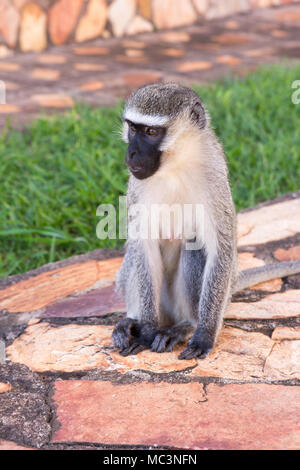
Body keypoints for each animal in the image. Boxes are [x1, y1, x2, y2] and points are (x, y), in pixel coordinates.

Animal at [112, 82, 300, 360]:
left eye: (151, 132)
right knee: (135, 256)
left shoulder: (214, 176)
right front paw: (145, 329)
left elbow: (220, 249)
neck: (176, 165)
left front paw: (204, 334)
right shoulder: (137, 184)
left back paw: (187, 326)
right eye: (133, 129)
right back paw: (132, 322)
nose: (131, 153)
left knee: (195, 247)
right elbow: (143, 246)